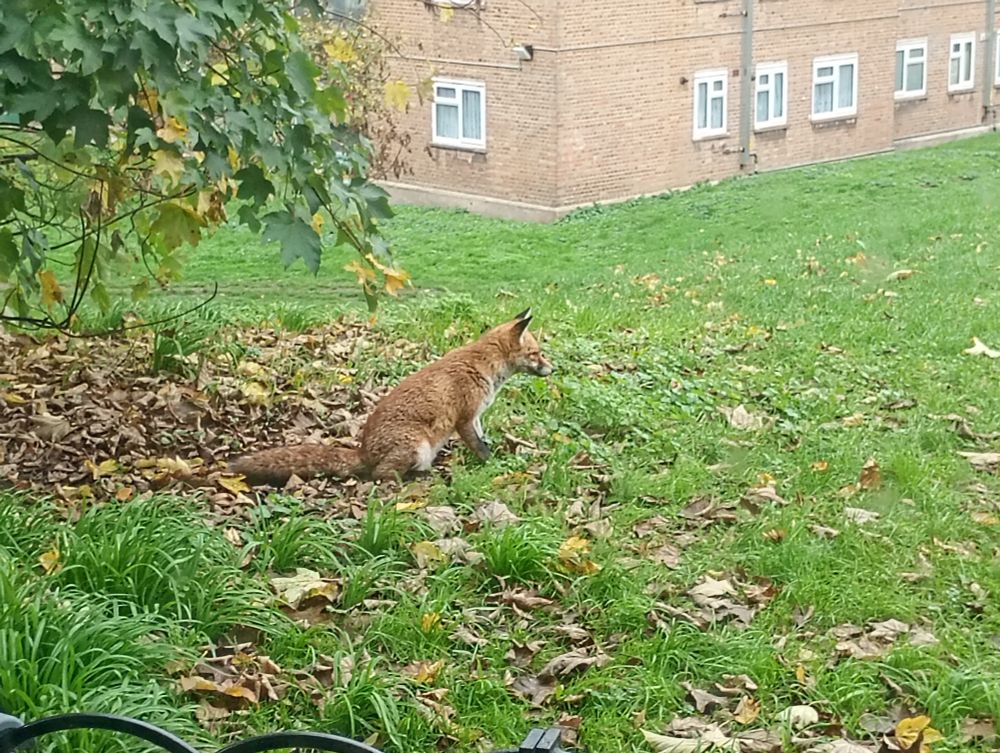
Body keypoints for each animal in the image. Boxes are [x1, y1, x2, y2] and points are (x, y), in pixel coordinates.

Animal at [229, 308, 553, 486]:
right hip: (416, 446)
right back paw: (418, 477)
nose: (554, 369)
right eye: (536, 354)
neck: (484, 367)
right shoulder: (464, 418)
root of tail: (362, 452)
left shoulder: (476, 418)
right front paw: (492, 464)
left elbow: (483, 439)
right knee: (380, 475)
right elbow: (480, 448)